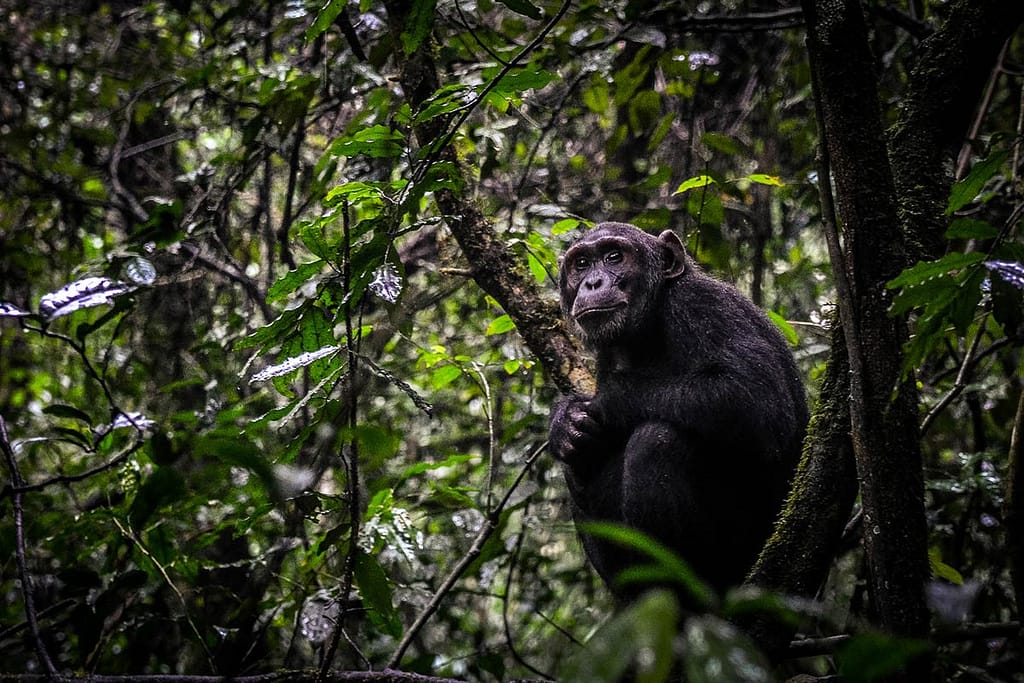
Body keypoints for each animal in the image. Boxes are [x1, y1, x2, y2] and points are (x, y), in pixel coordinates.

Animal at [549, 222, 808, 601]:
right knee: (578, 465)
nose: (592, 282)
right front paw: (566, 424)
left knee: (658, 441)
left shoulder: (702, 307)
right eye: (581, 264)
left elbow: (755, 398)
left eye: (614, 257)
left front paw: (599, 403)